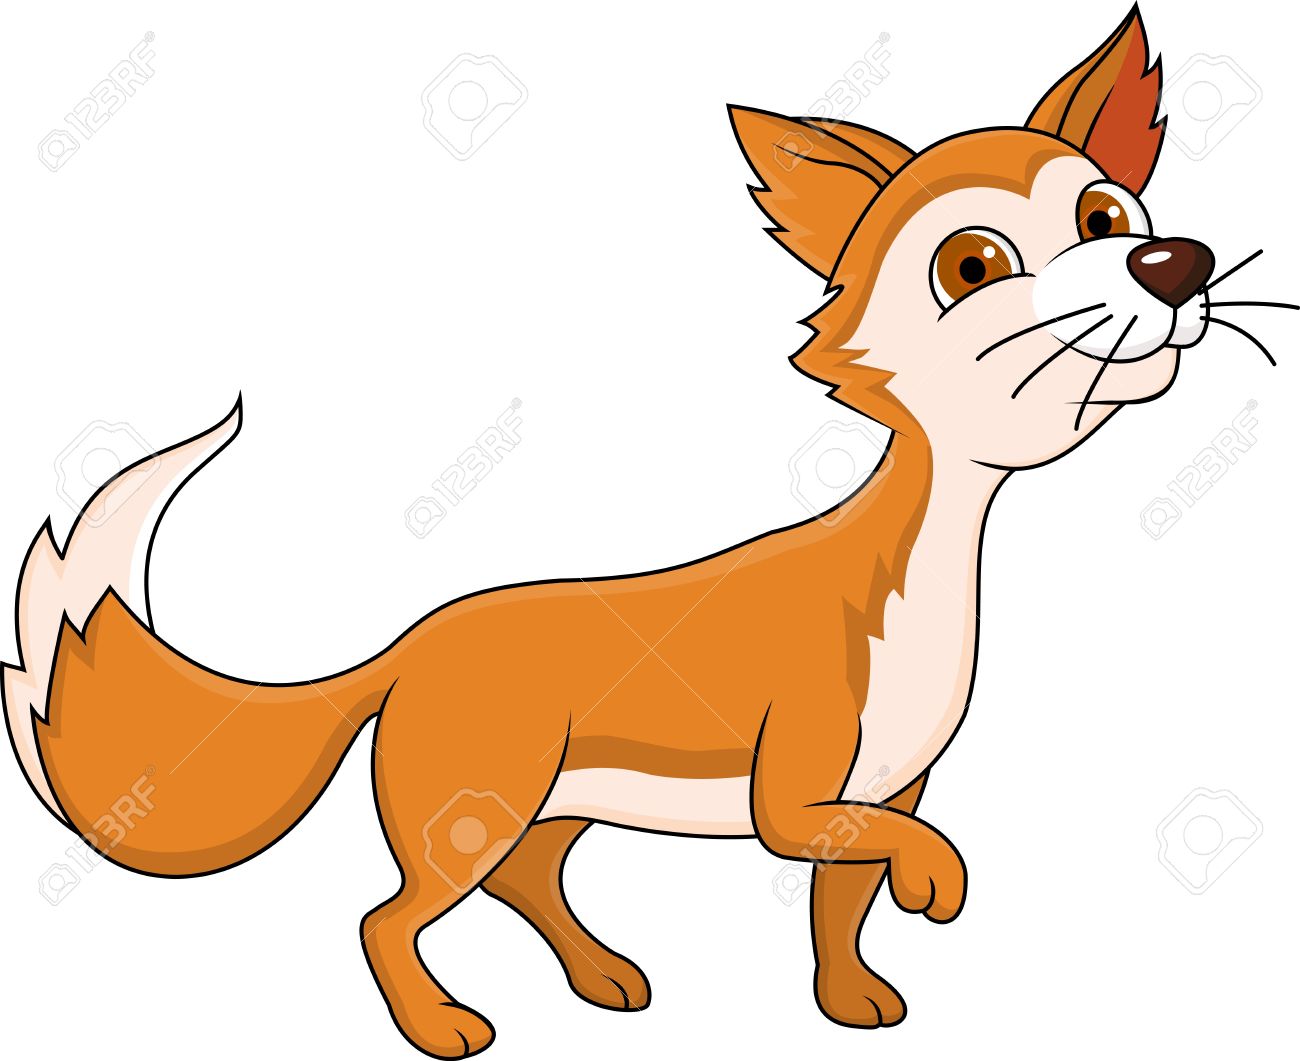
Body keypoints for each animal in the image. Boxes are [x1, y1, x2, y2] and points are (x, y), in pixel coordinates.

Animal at [5, 7, 1291, 1058]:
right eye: (973, 263)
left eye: (1106, 211)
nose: (1171, 262)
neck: (921, 579)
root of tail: (405, 646)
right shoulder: (796, 798)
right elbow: (876, 851)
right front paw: (932, 886)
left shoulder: (895, 779)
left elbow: (841, 901)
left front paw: (852, 1003)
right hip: (470, 812)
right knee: (385, 915)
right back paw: (442, 1025)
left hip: (549, 807)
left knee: (526, 883)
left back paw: (604, 977)